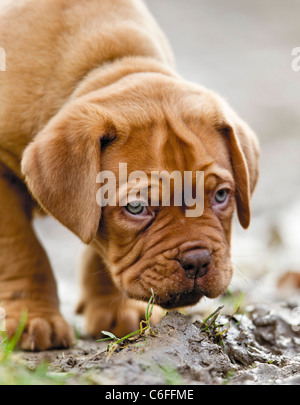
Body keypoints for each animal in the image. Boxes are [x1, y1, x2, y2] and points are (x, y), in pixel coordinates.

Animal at [0, 0, 258, 348]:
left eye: (221, 196)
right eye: (136, 207)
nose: (197, 260)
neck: (112, 63)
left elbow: (100, 255)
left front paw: (116, 310)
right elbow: (22, 250)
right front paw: (32, 318)